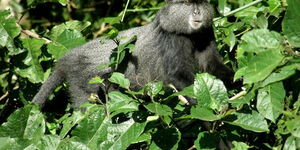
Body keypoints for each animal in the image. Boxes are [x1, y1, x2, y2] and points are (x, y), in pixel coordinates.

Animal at [32, 0, 234, 108]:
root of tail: (68, 58)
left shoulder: (205, 33)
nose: (197, 12)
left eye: (199, 3)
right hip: (83, 81)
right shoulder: (171, 37)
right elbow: (177, 74)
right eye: (187, 3)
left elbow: (212, 65)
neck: (190, 34)